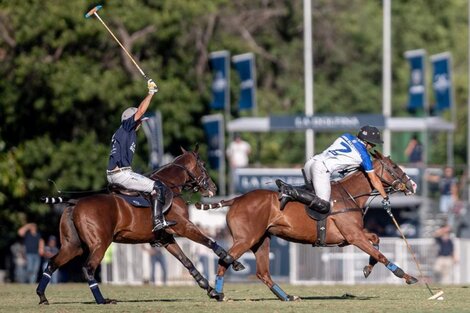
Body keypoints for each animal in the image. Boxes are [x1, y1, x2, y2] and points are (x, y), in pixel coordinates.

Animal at [36, 147, 241, 304]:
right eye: (203, 165)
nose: (213, 188)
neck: (170, 187)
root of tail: (75, 203)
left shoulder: (166, 238)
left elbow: (187, 262)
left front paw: (212, 291)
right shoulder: (184, 226)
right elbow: (209, 242)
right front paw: (232, 261)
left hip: (73, 245)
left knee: (52, 262)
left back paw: (42, 296)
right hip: (100, 244)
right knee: (88, 268)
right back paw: (102, 300)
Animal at [198, 150, 418, 302]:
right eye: (394, 167)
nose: (413, 185)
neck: (351, 195)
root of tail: (235, 199)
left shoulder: (351, 236)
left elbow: (376, 241)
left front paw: (367, 269)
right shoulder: (353, 236)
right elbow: (381, 255)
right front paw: (406, 276)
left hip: (261, 240)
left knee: (262, 272)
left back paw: (286, 297)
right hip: (246, 238)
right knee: (224, 260)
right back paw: (218, 294)